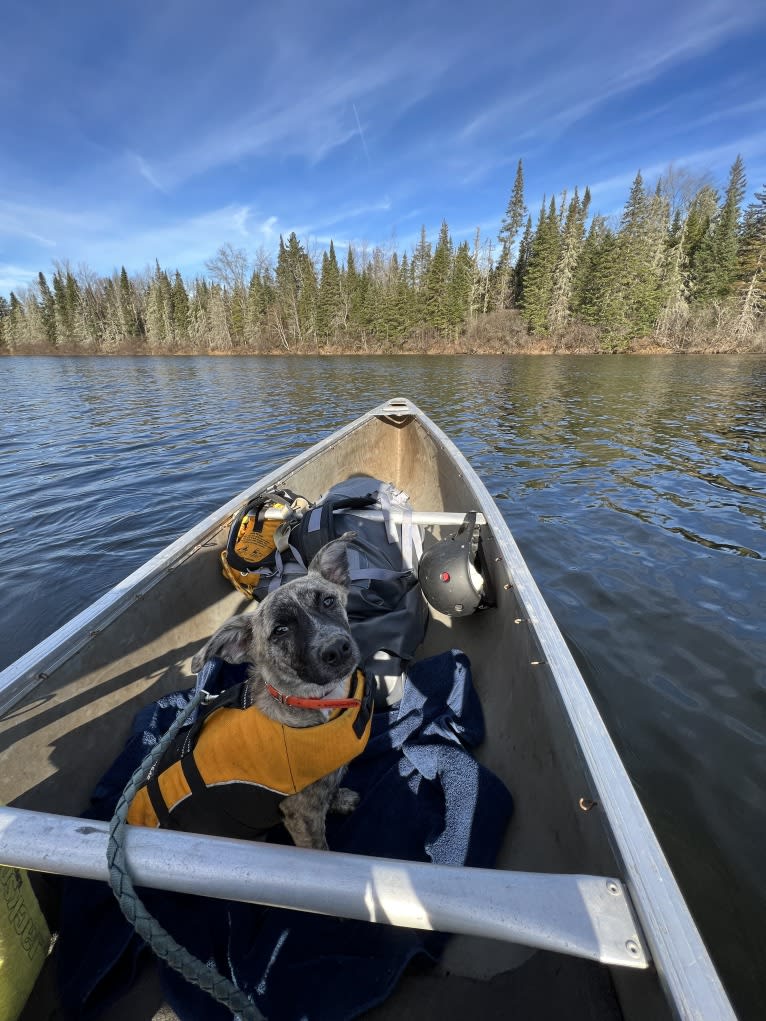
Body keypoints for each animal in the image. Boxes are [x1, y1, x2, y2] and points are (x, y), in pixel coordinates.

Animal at [181, 530, 369, 849]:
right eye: (280, 630)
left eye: (328, 601)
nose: (337, 649)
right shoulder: (301, 816)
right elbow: (319, 846)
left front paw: (339, 799)